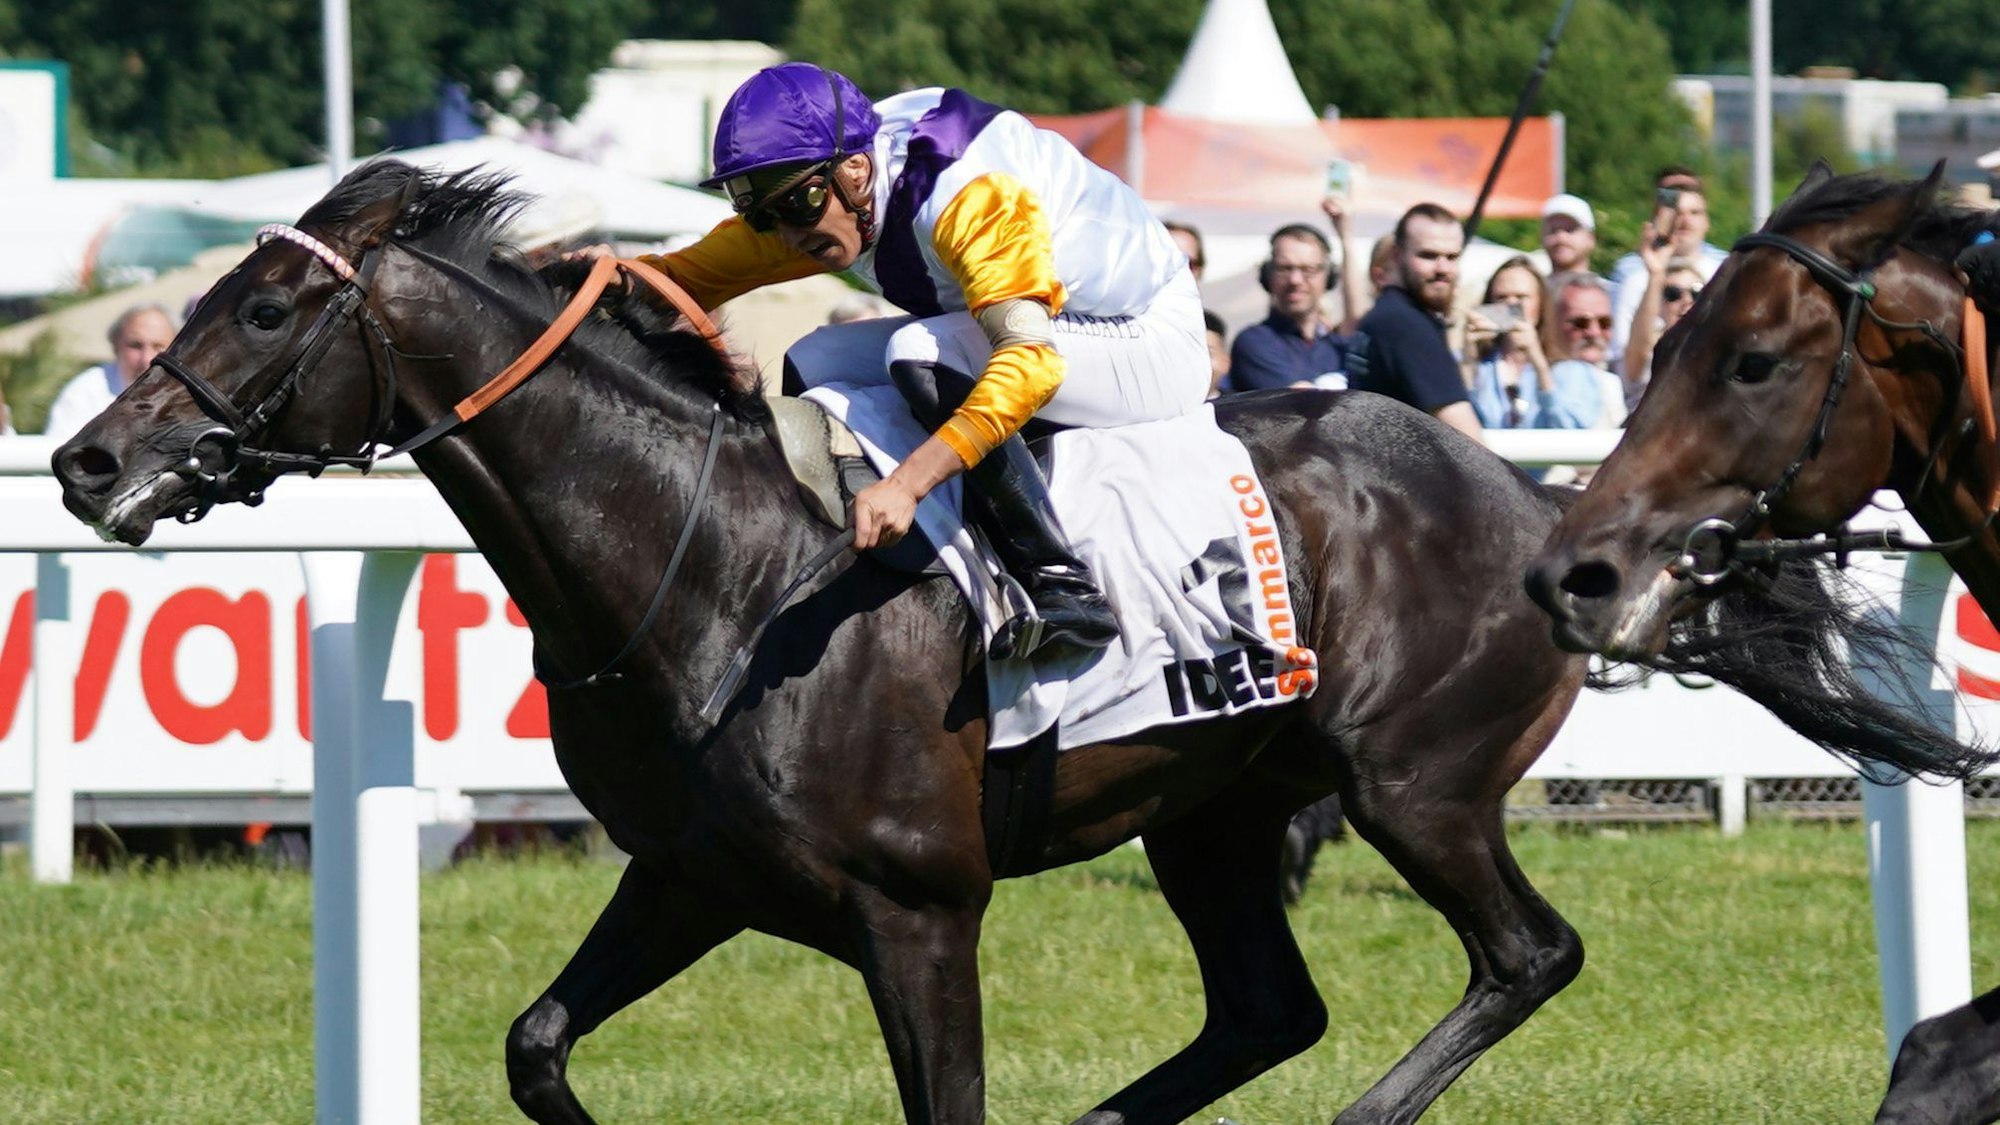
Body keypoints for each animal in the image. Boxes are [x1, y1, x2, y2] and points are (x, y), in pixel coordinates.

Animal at [42, 159, 1888, 1125]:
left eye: (265, 308)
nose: (88, 460)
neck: (723, 576)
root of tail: (1530, 495)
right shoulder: (690, 875)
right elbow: (536, 1043)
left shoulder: (917, 912)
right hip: (1217, 810)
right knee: (1267, 1009)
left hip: (1410, 783)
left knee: (1525, 956)